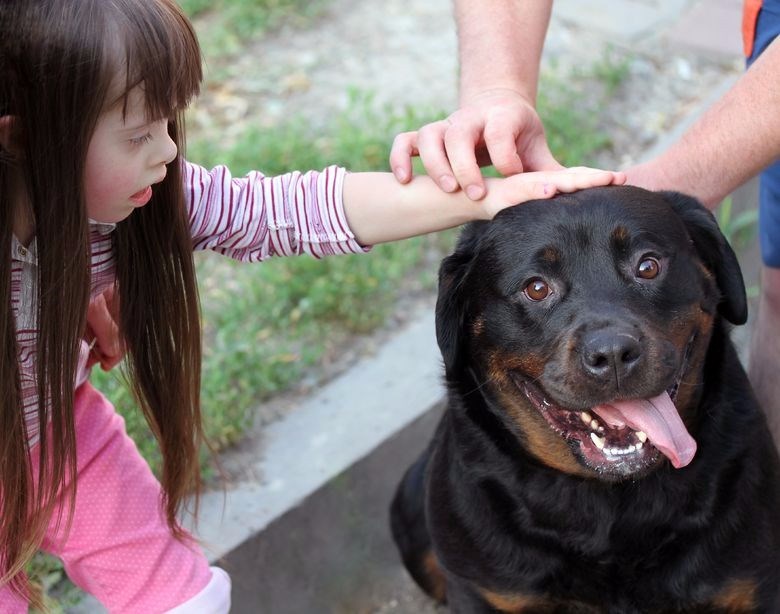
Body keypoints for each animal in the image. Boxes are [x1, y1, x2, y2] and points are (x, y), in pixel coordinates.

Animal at [394, 189, 780, 614]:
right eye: (536, 288)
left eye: (648, 266)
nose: (612, 353)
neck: (611, 503)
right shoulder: (485, 592)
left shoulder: (751, 581)